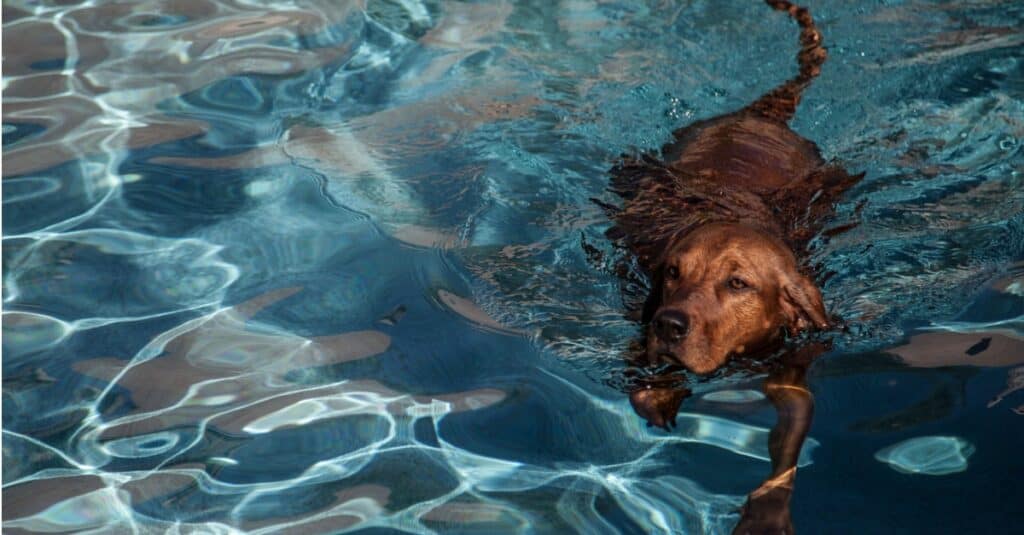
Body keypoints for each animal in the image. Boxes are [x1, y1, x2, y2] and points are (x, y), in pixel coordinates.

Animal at [602, 2, 860, 528]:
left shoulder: (793, 364)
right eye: (672, 273)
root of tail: (755, 116)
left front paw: (766, 515)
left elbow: (789, 448)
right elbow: (642, 373)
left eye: (738, 283)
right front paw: (659, 395)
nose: (669, 324)